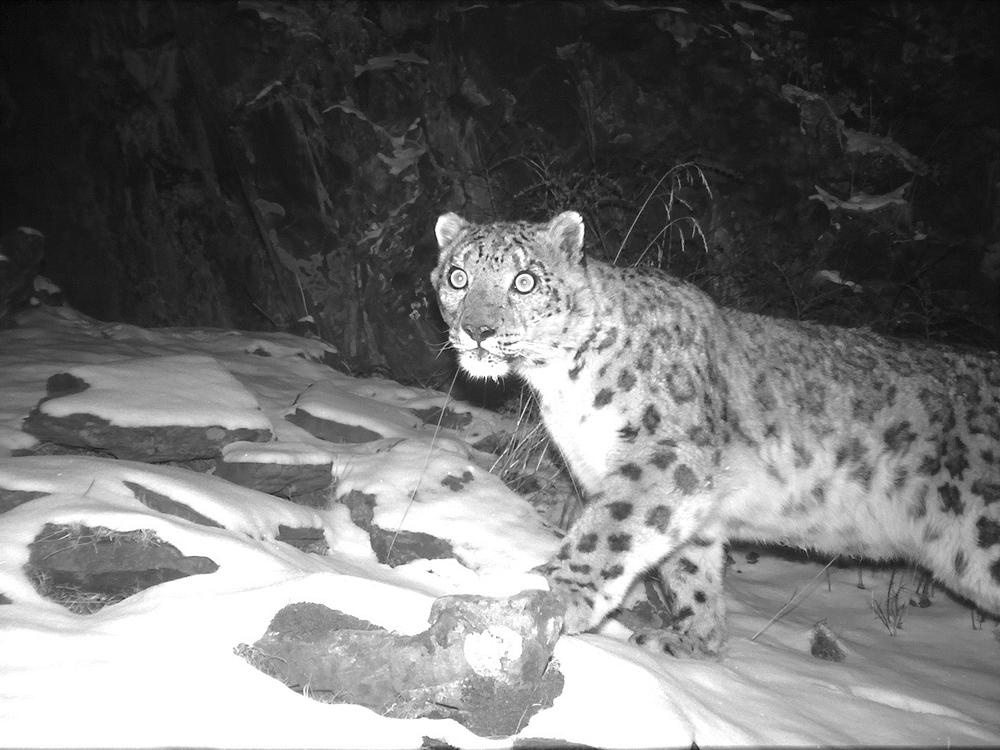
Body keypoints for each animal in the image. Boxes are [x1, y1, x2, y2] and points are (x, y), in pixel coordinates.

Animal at [431, 209, 1000, 656]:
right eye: (457, 277)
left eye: (524, 281)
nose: (477, 330)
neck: (558, 385)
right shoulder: (687, 497)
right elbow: (689, 569)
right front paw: (693, 640)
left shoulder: (665, 455)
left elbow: (609, 529)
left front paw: (554, 594)